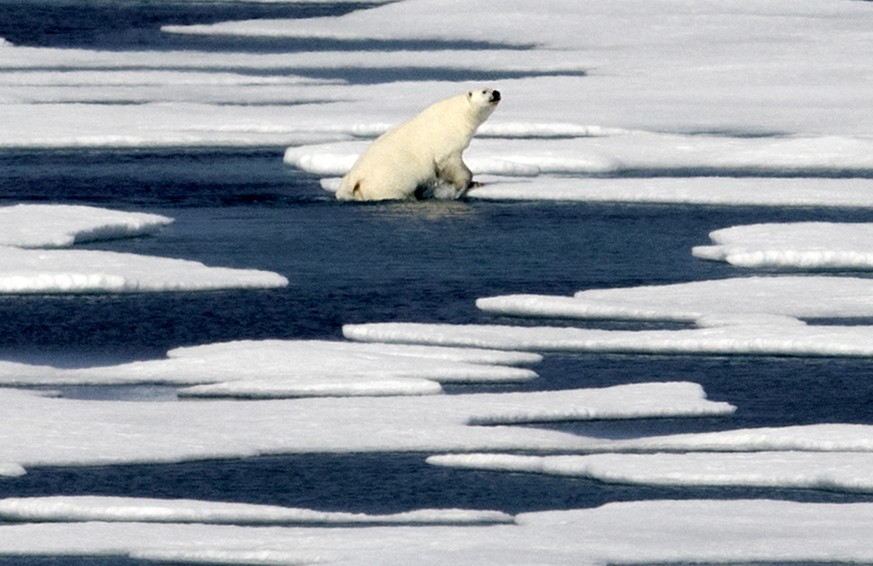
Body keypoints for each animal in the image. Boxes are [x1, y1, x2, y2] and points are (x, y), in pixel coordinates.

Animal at [336, 87, 500, 203]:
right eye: (484, 91)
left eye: (492, 88)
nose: (496, 93)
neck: (457, 114)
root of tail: (353, 177)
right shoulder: (445, 143)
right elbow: (452, 166)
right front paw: (462, 187)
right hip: (386, 182)